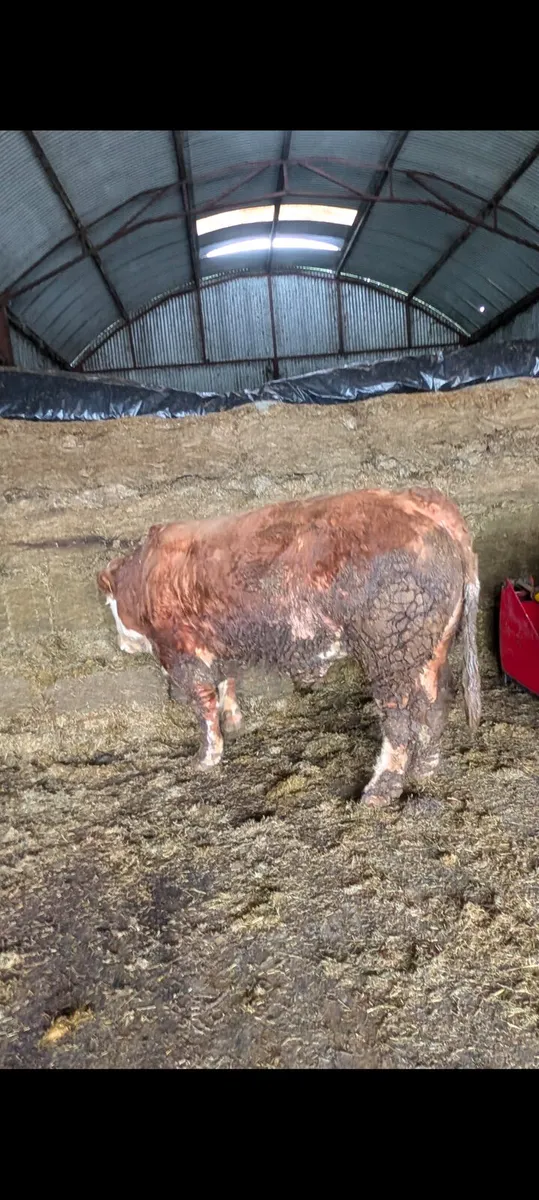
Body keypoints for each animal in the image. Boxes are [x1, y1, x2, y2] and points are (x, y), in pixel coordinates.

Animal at [97, 487, 480, 807]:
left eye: (110, 604)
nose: (122, 643)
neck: (147, 576)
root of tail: (420, 502)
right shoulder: (223, 644)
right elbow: (227, 683)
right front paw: (234, 723)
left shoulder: (181, 653)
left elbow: (204, 707)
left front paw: (206, 758)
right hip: (431, 648)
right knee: (435, 702)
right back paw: (426, 767)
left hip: (389, 654)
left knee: (400, 719)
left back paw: (379, 790)